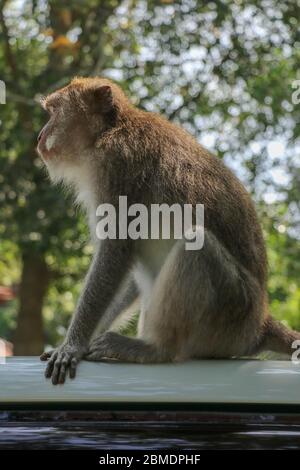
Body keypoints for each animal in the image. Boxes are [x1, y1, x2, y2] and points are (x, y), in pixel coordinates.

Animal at [36, 78, 298, 386]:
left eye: (53, 111)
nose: (39, 136)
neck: (108, 132)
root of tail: (260, 324)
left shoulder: (117, 168)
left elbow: (116, 251)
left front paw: (72, 346)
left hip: (233, 315)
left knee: (198, 245)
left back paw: (155, 349)